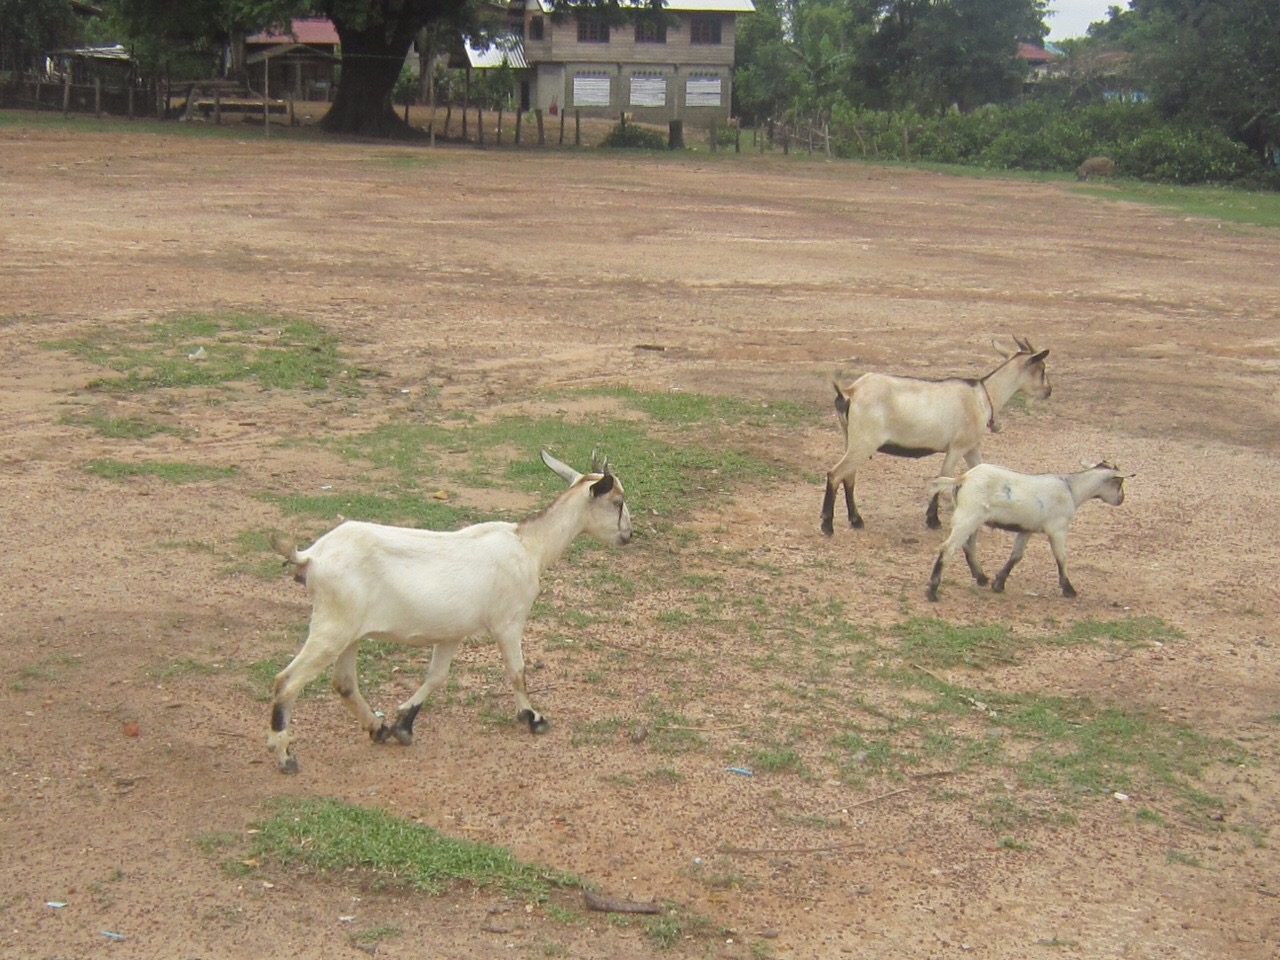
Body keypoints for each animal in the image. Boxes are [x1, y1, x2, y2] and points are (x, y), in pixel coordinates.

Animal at [266, 450, 634, 773]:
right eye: (617, 502)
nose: (628, 535)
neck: (530, 546)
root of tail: (311, 556)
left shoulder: (451, 633)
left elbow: (436, 676)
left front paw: (403, 724)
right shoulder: (509, 621)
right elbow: (517, 671)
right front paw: (533, 719)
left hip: (349, 632)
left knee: (343, 683)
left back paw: (378, 728)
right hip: (333, 625)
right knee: (287, 681)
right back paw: (284, 756)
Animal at [819, 340, 1049, 537]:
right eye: (1042, 369)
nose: (1048, 391)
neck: (982, 397)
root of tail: (850, 392)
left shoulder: (971, 447)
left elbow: (980, 471)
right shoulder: (957, 446)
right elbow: (943, 477)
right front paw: (933, 520)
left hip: (850, 438)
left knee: (849, 476)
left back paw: (856, 520)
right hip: (864, 441)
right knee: (835, 474)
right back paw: (827, 525)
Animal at [931, 460, 1131, 601]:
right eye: (1119, 482)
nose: (1121, 499)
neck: (1071, 489)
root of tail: (962, 478)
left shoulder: (1027, 529)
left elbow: (1016, 556)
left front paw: (999, 583)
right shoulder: (1057, 529)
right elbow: (1061, 558)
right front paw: (1069, 589)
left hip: (972, 519)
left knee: (968, 546)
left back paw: (981, 578)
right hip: (968, 516)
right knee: (947, 548)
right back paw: (932, 591)